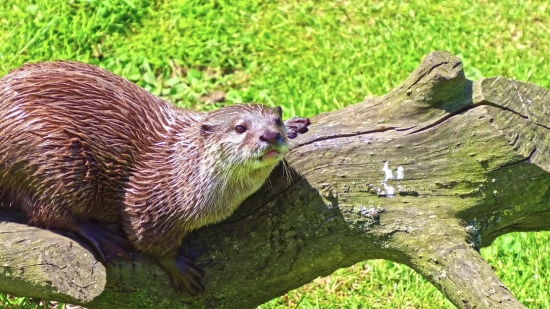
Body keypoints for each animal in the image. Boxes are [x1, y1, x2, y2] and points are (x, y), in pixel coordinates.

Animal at [0, 60, 310, 294]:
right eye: (240, 128)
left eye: (276, 121)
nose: (270, 135)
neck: (181, 169)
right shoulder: (148, 199)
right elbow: (149, 240)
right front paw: (179, 268)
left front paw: (296, 124)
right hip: (53, 155)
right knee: (48, 212)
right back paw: (104, 236)